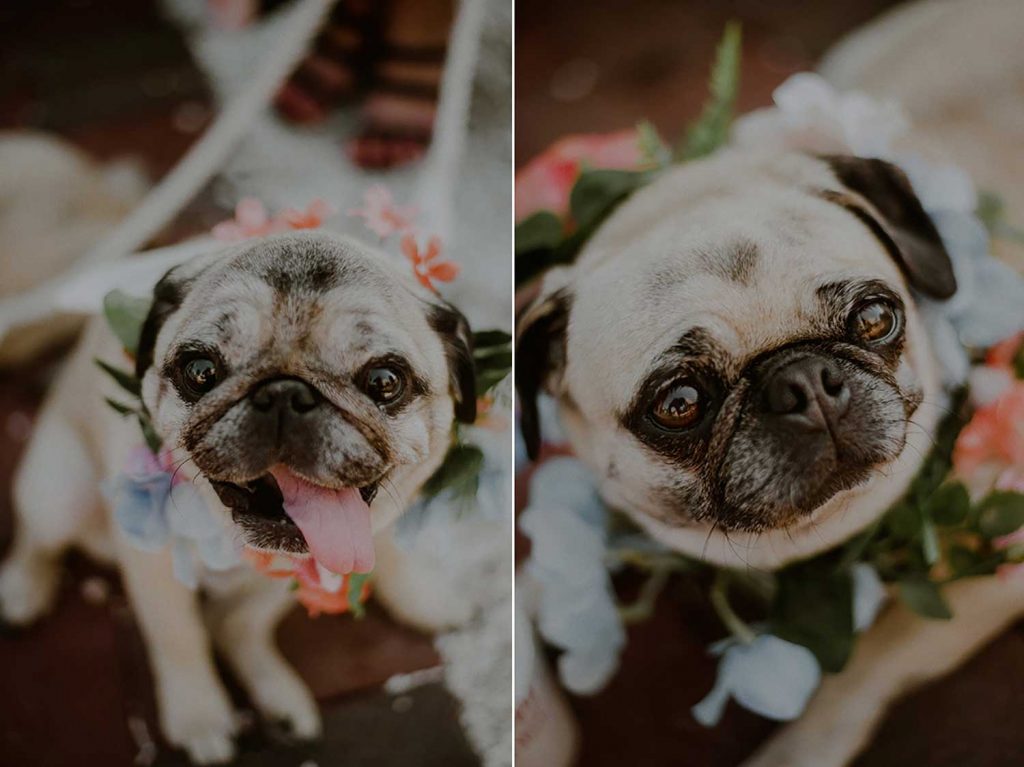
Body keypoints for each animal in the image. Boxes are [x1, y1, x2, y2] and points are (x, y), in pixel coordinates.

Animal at [0, 230, 479, 761]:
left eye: (384, 382)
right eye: (201, 371)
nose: (287, 393)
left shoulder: (307, 569)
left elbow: (243, 622)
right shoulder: (152, 562)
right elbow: (177, 636)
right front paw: (199, 716)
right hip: (57, 492)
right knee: (37, 537)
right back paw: (22, 586)